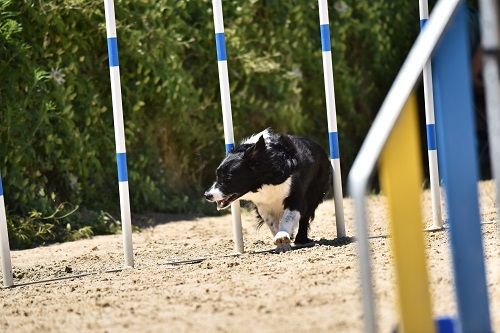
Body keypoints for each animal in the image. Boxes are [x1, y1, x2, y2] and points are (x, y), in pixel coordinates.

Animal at [203, 128, 332, 250]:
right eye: (217, 175)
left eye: (228, 177)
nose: (207, 195)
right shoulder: (263, 205)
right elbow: (271, 223)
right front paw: (281, 243)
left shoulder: (296, 197)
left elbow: (288, 217)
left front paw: (282, 236)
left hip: (314, 193)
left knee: (305, 217)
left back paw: (301, 239)